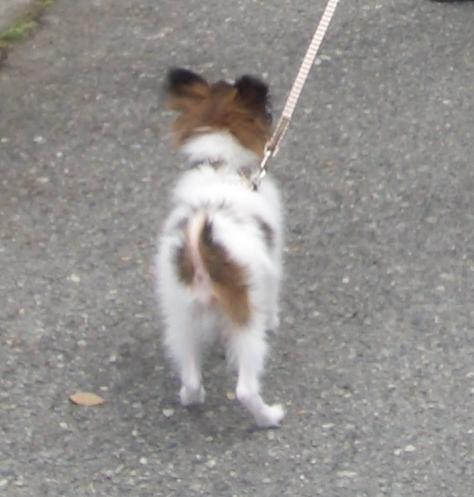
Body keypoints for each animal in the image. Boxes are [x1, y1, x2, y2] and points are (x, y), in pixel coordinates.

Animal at [155, 68, 284, 427]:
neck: (219, 163)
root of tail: (200, 247)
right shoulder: (271, 268)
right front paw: (275, 321)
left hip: (179, 316)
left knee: (190, 376)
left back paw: (190, 398)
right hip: (244, 318)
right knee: (245, 389)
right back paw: (270, 416)